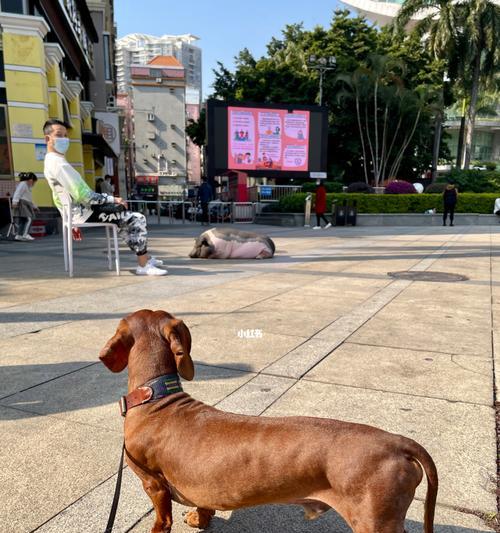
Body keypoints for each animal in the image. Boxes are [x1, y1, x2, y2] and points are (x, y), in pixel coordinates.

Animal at [99, 310, 436, 532]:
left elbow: (162, 519)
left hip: (375, 522)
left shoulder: (153, 484)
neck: (157, 399)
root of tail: (398, 443)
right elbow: (204, 503)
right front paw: (200, 518)